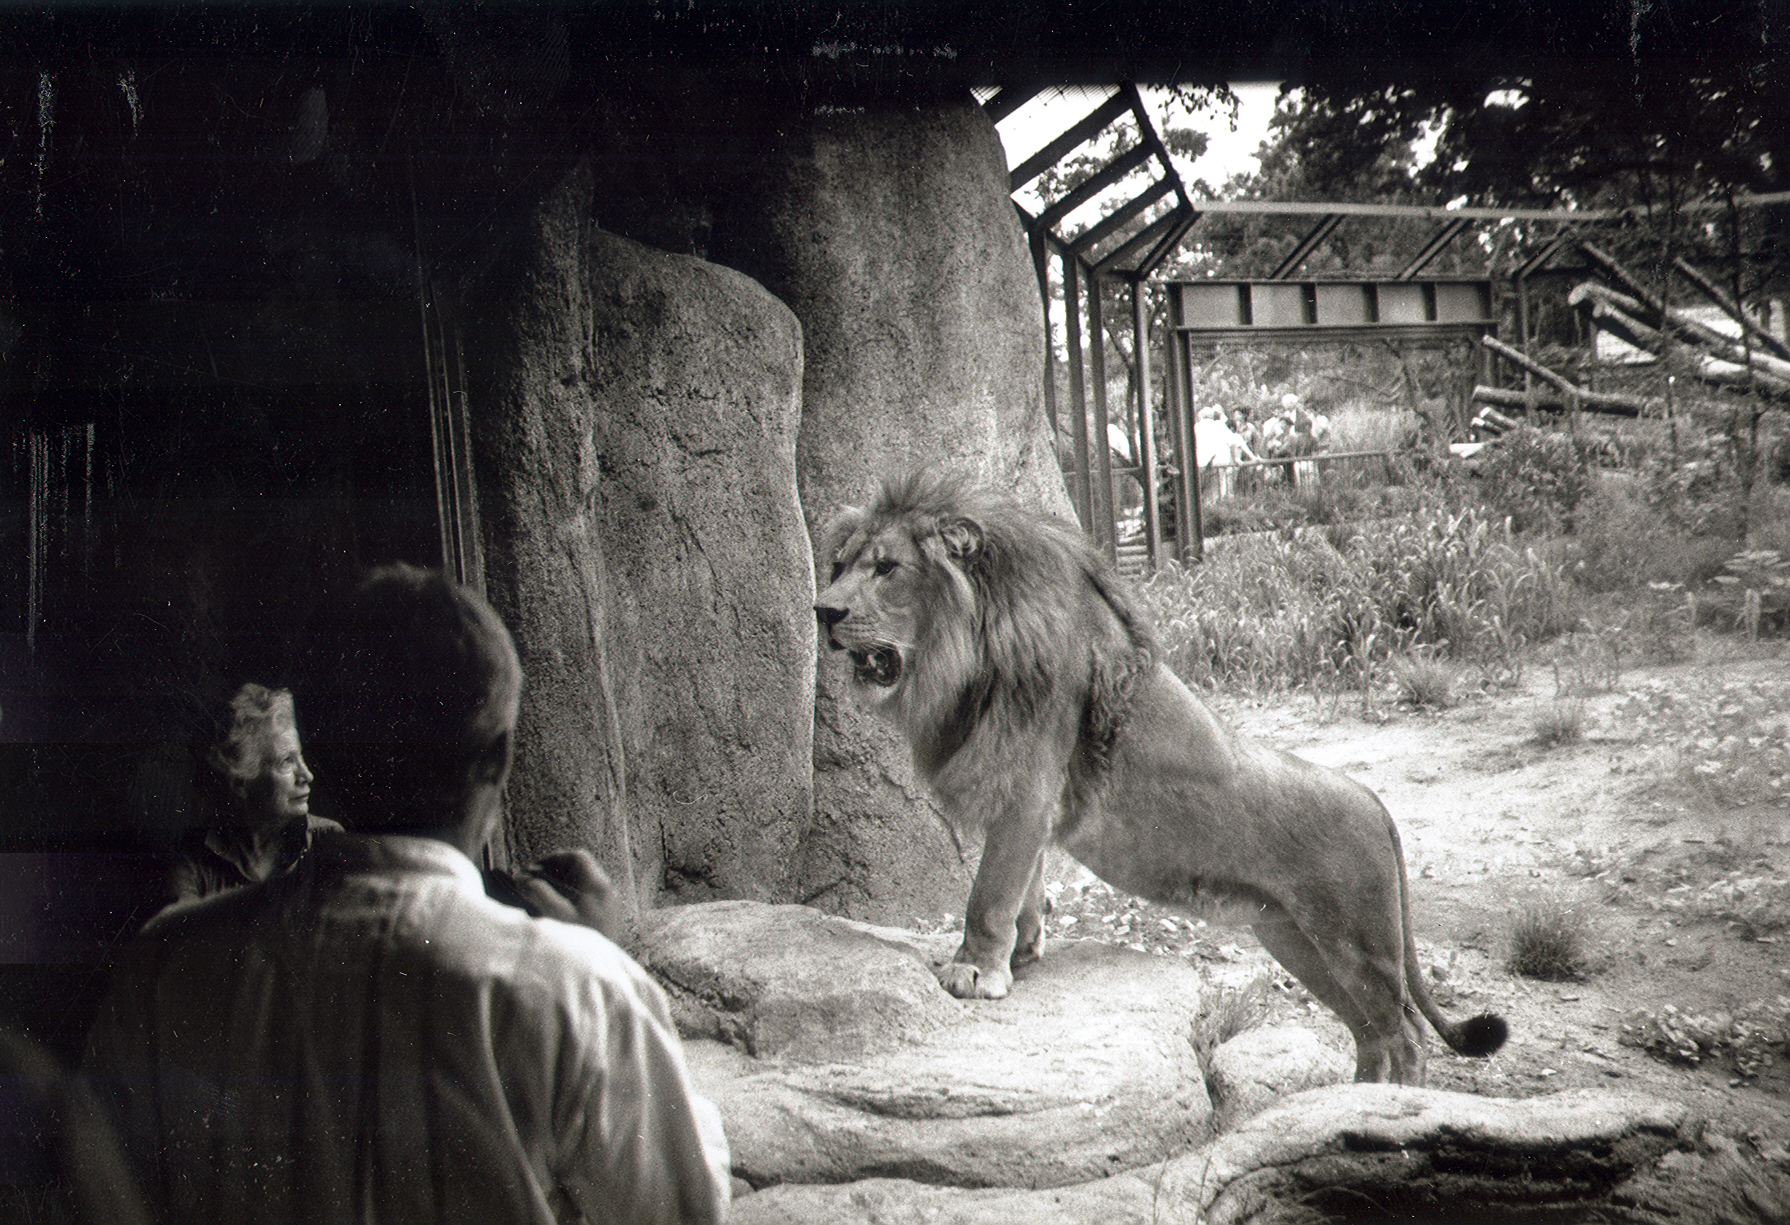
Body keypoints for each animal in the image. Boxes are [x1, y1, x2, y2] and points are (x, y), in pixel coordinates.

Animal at [819, 469, 1503, 1081]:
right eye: (840, 565)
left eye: (886, 568)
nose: (823, 610)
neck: (969, 646)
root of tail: (1376, 802)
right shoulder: (1027, 801)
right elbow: (1024, 886)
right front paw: (1024, 953)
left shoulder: (1027, 790)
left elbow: (990, 893)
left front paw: (973, 971)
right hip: (1293, 941)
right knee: (1370, 1034)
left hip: (1359, 945)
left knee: (1405, 1034)